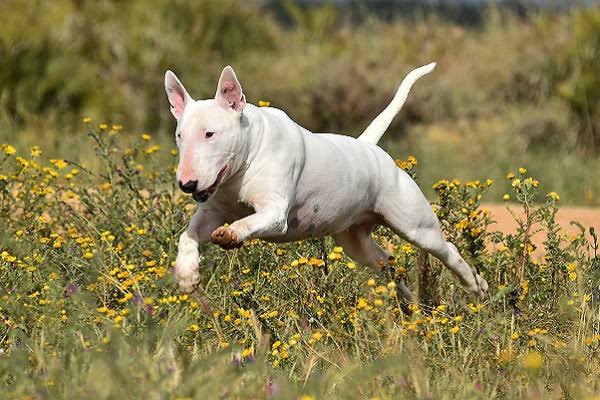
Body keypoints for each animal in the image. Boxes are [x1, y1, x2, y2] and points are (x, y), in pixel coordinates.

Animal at [164, 63, 488, 300]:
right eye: (179, 135)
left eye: (210, 133)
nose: (187, 185)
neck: (243, 163)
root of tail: (368, 147)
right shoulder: (213, 210)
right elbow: (189, 235)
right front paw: (186, 274)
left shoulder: (275, 213)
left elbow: (248, 221)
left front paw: (230, 234)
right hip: (356, 242)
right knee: (387, 264)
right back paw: (409, 304)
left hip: (415, 225)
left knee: (447, 250)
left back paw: (475, 286)